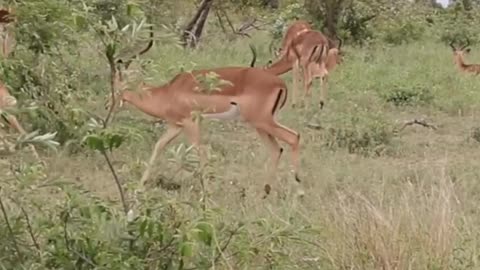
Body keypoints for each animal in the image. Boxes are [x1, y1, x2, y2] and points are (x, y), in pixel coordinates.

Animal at [117, 67, 302, 197]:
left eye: (118, 84)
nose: (113, 101)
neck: (167, 93)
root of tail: (280, 84)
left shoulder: (190, 122)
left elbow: (201, 151)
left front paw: (207, 192)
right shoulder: (176, 126)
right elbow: (158, 146)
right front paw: (140, 186)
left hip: (262, 122)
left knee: (294, 137)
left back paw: (297, 190)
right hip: (260, 125)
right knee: (276, 149)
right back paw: (265, 192)